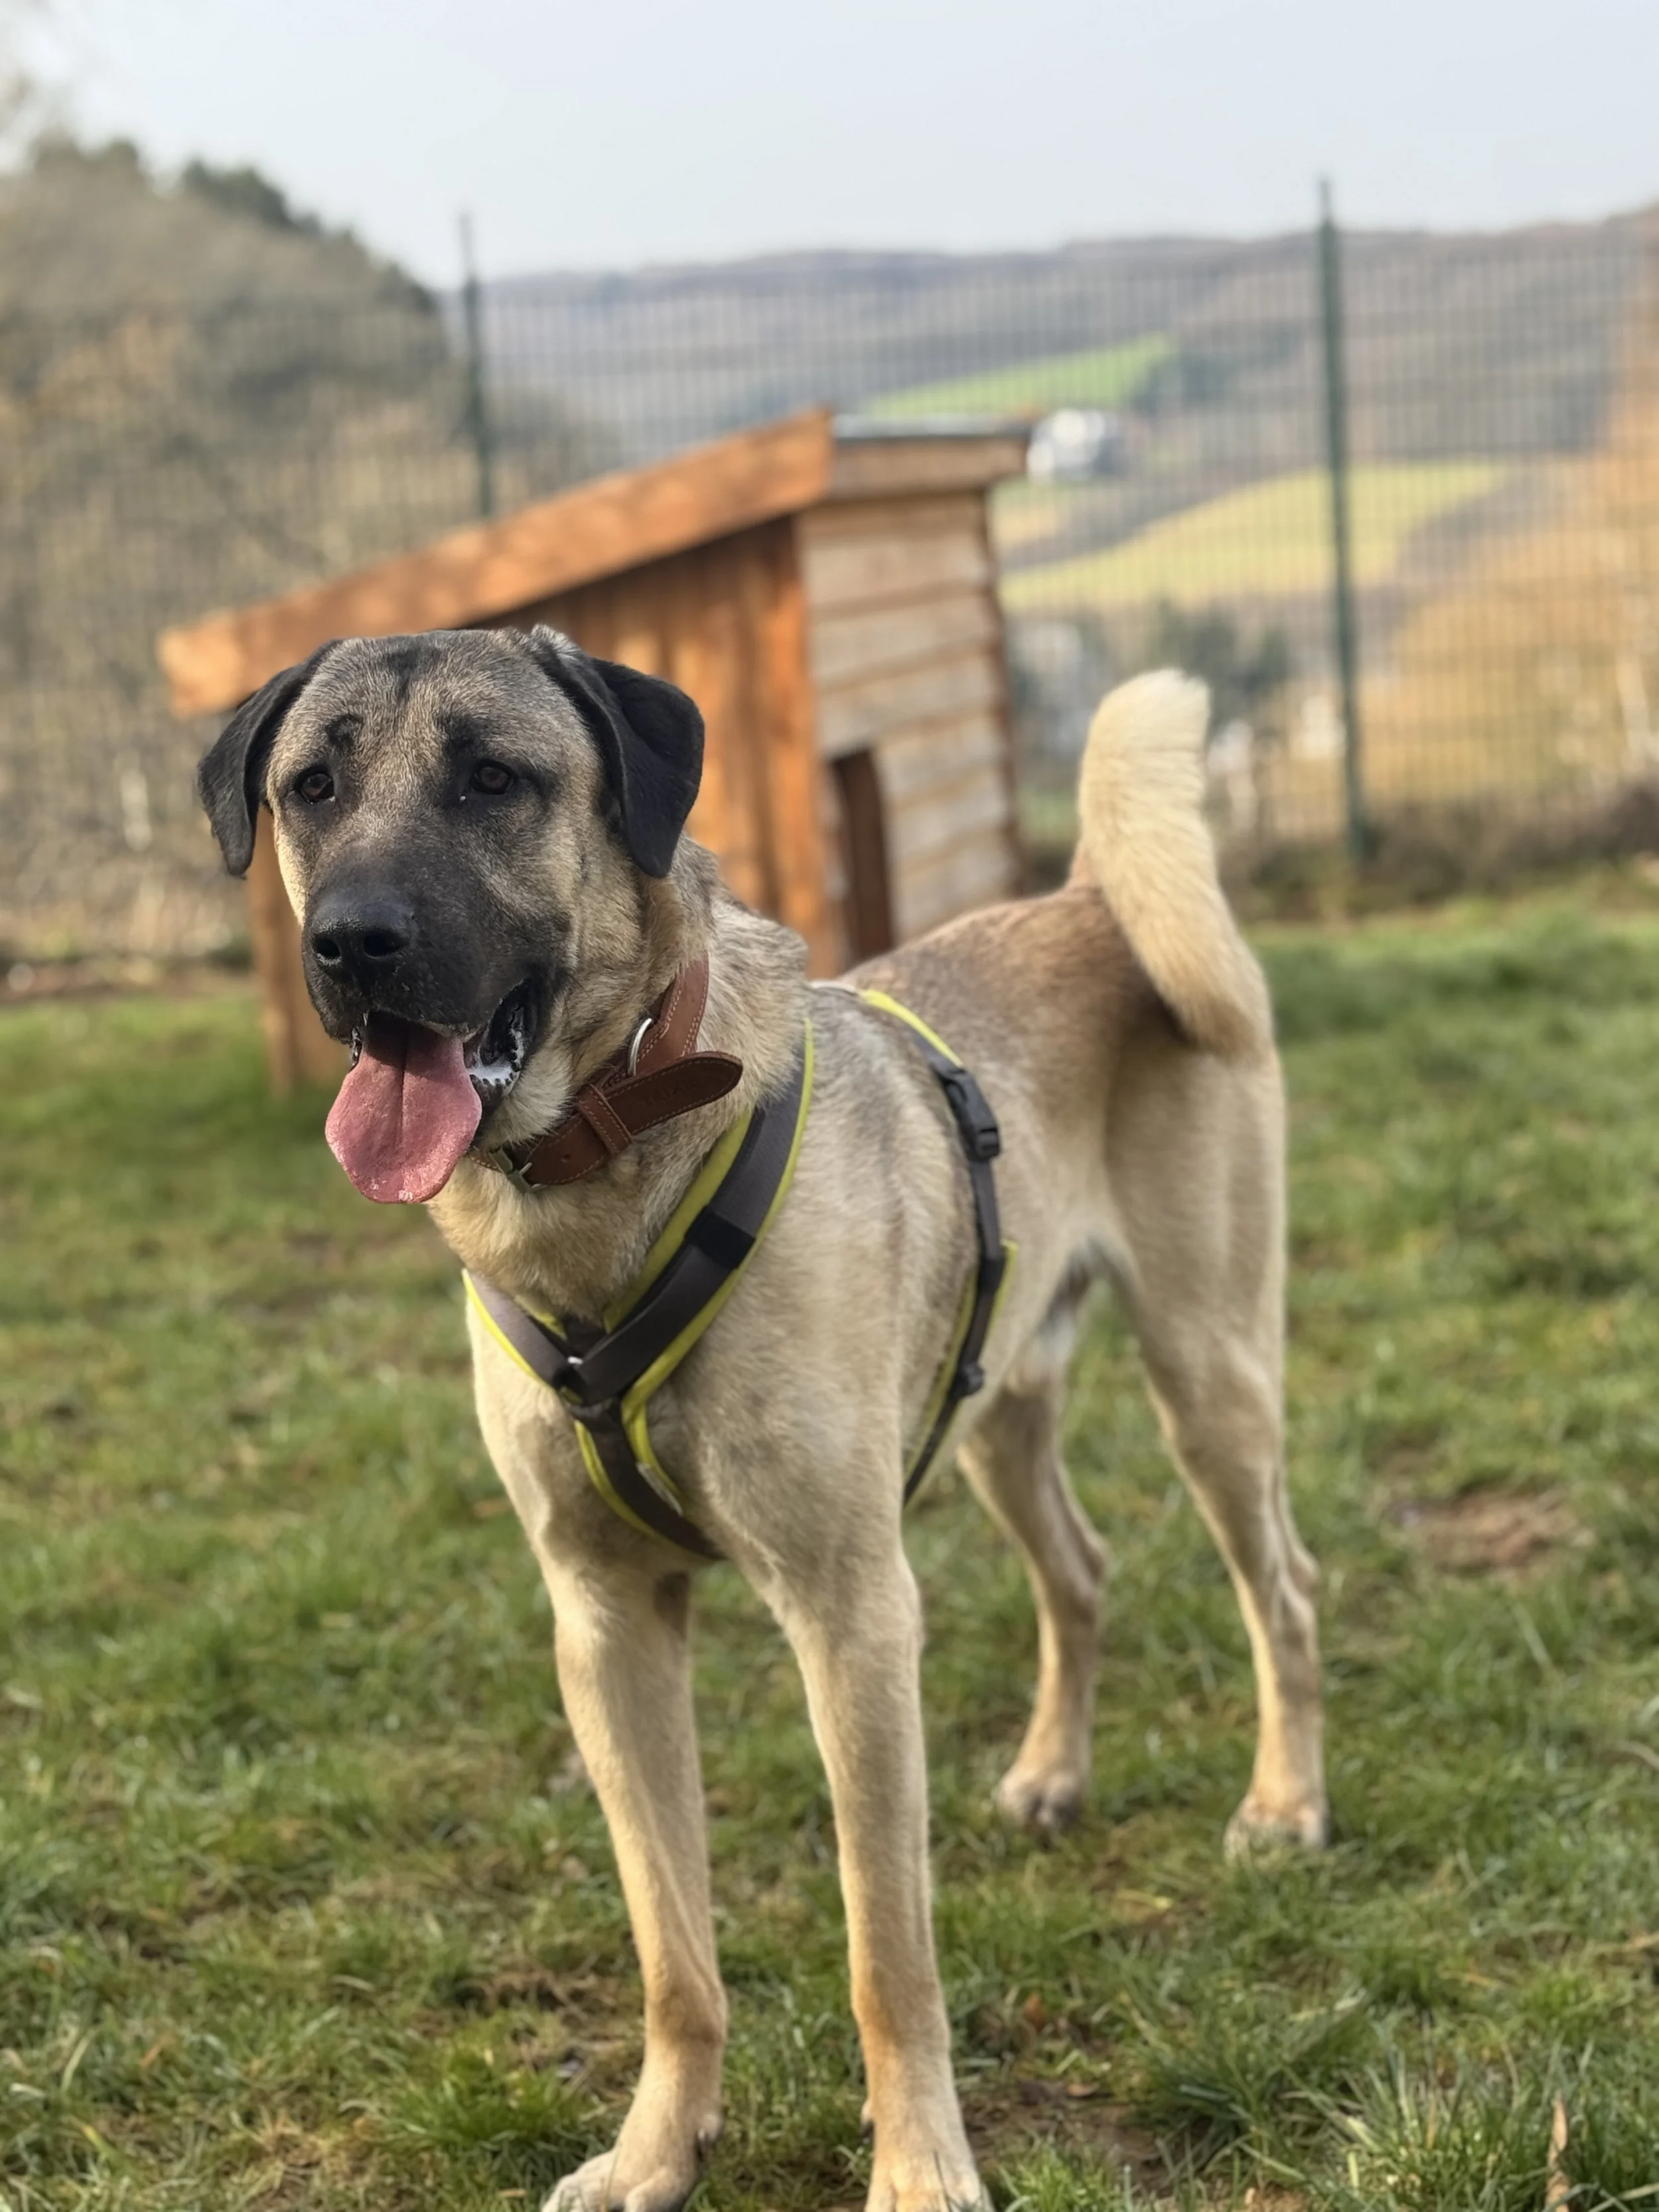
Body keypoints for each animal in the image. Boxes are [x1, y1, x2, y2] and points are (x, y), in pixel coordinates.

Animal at [198, 629, 1326, 2212]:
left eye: (494, 778)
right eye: (311, 788)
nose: (352, 945)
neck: (602, 1166)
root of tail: (1092, 902)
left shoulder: (853, 1616)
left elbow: (885, 1950)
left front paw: (918, 2165)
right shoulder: (607, 1630)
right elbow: (673, 1951)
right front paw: (658, 2147)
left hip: (1209, 1379)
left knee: (1281, 1587)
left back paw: (1283, 1804)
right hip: (995, 1411)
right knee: (1082, 1572)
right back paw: (1054, 1770)